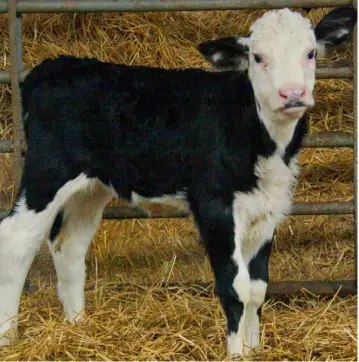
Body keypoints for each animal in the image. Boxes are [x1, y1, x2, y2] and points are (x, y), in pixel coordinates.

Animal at [0, 7, 358, 358]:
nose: (293, 94)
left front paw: (254, 349)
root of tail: (54, 66)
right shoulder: (215, 205)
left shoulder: (267, 208)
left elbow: (257, 289)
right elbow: (236, 287)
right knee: (16, 240)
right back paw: (8, 336)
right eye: (258, 57)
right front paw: (236, 353)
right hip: (48, 172)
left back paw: (78, 326)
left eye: (310, 53)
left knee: (69, 243)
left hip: (91, 186)